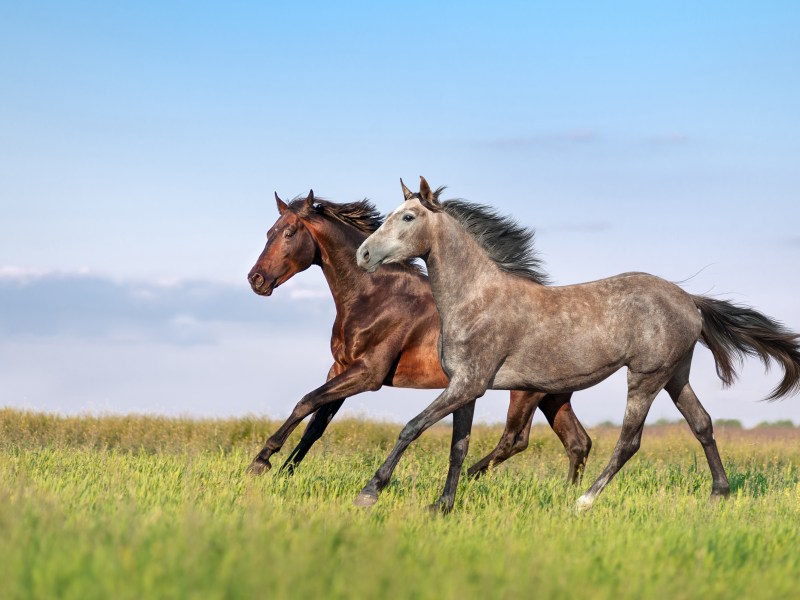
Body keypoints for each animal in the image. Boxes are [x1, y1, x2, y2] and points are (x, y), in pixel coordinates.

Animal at [247, 192, 592, 488]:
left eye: (289, 232)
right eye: (269, 232)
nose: (256, 279)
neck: (375, 296)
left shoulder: (367, 374)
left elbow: (305, 402)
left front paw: (262, 461)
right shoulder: (341, 367)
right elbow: (316, 424)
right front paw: (285, 472)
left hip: (524, 394)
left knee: (515, 440)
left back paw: (466, 479)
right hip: (551, 395)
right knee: (577, 442)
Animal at [356, 177, 800, 510]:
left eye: (408, 216)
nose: (364, 254)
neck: (475, 298)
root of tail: (690, 300)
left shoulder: (469, 384)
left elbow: (412, 428)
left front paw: (370, 492)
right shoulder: (465, 388)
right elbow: (457, 446)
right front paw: (442, 505)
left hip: (646, 378)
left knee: (629, 441)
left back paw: (584, 500)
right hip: (676, 375)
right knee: (702, 425)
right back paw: (719, 495)